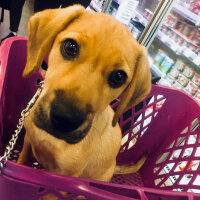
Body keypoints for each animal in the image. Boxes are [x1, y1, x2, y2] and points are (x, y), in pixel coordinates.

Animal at [18, 4, 151, 183]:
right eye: (70, 47)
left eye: (118, 77)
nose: (64, 119)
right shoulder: (28, 143)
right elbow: (22, 161)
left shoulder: (65, 177)